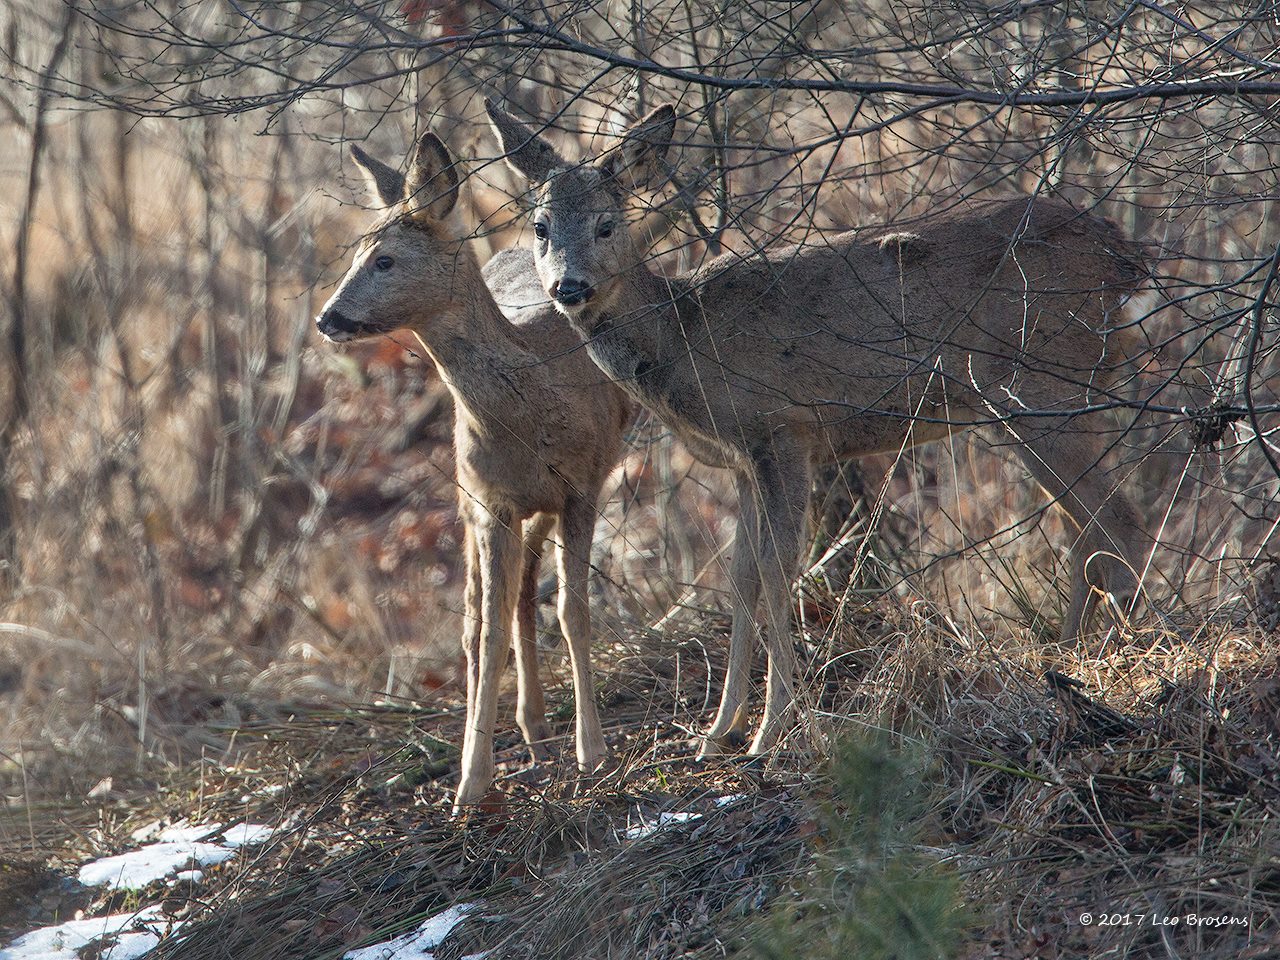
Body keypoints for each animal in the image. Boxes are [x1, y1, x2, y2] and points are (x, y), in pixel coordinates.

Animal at [315, 130, 632, 812]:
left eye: (384, 260)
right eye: (357, 254)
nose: (328, 318)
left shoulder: (583, 486)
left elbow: (573, 612)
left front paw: (593, 752)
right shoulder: (490, 502)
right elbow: (483, 632)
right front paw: (471, 781)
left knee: (528, 591)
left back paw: (543, 730)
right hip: (472, 501)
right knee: (494, 606)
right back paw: (531, 730)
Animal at [486, 99, 1152, 759]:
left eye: (606, 225)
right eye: (541, 226)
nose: (569, 288)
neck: (681, 339)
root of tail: (1126, 259)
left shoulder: (783, 430)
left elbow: (779, 572)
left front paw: (770, 730)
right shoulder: (744, 459)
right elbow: (741, 577)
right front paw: (717, 733)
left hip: (1043, 384)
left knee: (1118, 519)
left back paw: (1132, 657)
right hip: (1030, 403)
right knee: (1084, 529)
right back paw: (1072, 653)